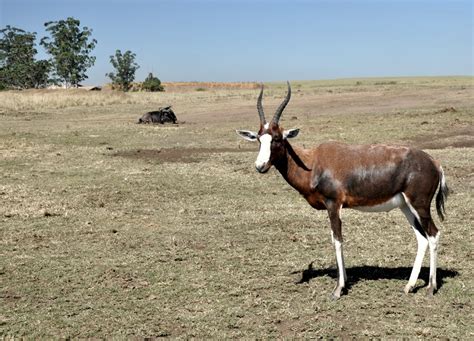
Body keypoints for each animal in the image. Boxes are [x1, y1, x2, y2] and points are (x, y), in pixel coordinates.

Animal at [236, 81, 448, 298]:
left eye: (277, 138)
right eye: (259, 138)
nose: (260, 166)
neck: (314, 162)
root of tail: (434, 162)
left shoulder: (333, 205)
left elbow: (337, 240)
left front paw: (338, 289)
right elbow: (334, 239)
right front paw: (343, 283)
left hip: (420, 205)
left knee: (433, 234)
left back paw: (431, 287)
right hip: (406, 206)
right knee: (421, 238)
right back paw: (409, 286)